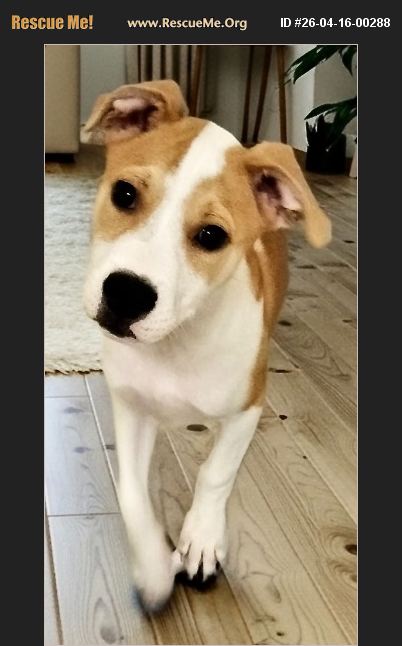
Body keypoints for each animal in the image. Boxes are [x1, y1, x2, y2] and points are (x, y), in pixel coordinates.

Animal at [83, 80, 331, 611]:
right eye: (124, 193)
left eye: (212, 235)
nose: (127, 294)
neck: (176, 343)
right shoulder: (131, 408)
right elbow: (132, 494)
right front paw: (155, 568)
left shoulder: (248, 408)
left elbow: (215, 472)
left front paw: (200, 540)